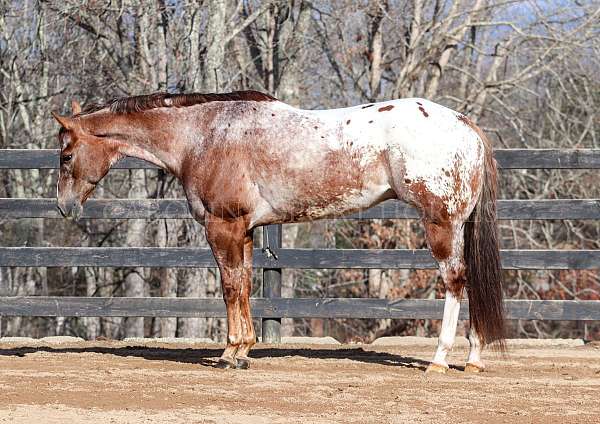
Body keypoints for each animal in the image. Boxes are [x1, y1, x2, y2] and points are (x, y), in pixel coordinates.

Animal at [51, 89, 504, 372]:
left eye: (66, 155)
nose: (64, 207)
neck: (204, 134)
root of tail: (464, 124)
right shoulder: (246, 230)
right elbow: (246, 284)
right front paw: (244, 349)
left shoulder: (223, 227)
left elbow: (230, 286)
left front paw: (230, 353)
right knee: (469, 283)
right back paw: (473, 358)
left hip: (441, 225)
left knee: (455, 281)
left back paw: (440, 359)